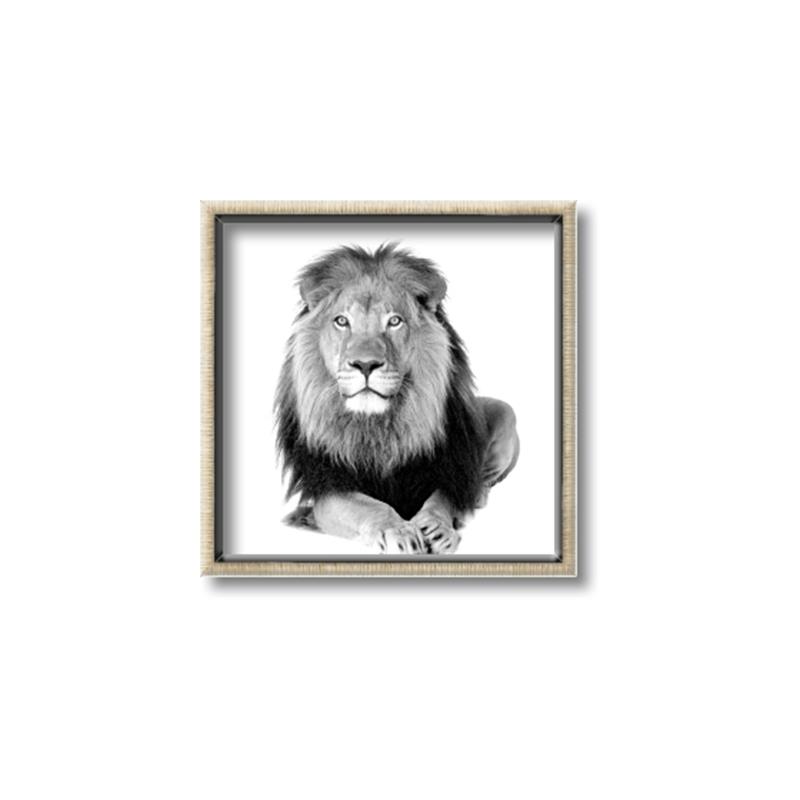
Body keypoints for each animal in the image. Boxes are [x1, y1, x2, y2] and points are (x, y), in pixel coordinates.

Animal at [275, 243, 520, 555]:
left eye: (394, 321)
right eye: (342, 321)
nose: (365, 364)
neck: (380, 425)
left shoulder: (448, 471)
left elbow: (441, 501)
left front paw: (437, 528)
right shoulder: (330, 487)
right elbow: (370, 507)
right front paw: (399, 530)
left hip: (505, 412)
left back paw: (476, 495)